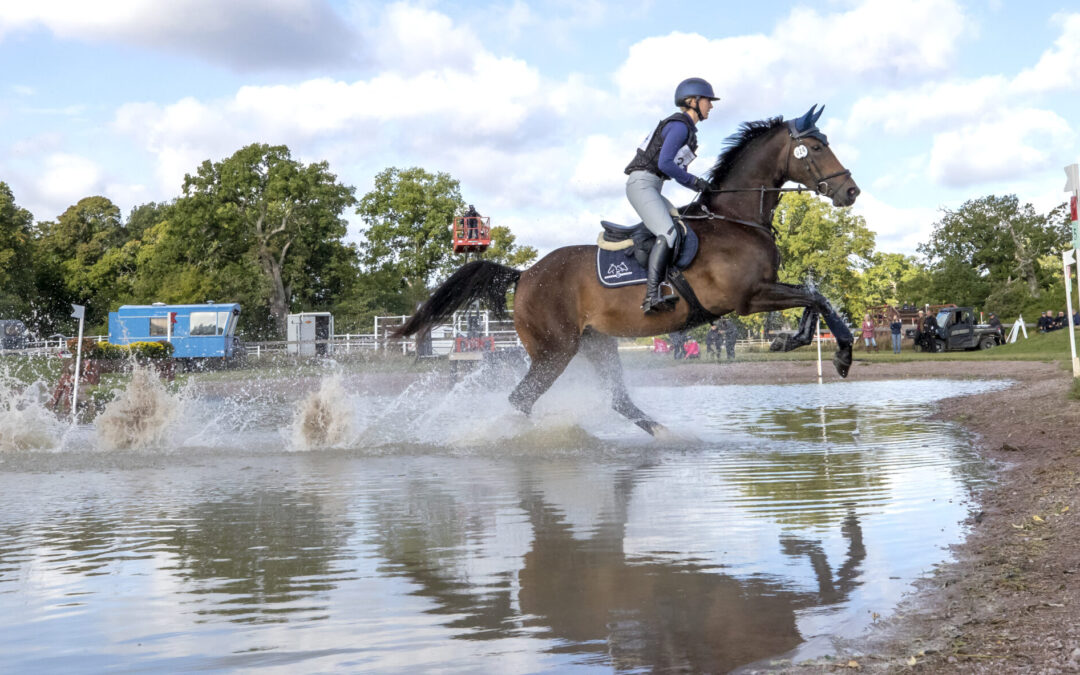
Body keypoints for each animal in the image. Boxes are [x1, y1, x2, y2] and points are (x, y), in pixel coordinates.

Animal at [395, 105, 859, 432]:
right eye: (817, 148)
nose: (850, 191)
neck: (735, 219)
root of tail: (525, 275)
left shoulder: (764, 290)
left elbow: (817, 298)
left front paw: (804, 343)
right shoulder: (747, 298)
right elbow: (816, 297)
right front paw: (835, 354)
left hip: (596, 344)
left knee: (615, 398)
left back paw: (665, 434)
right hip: (555, 351)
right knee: (521, 399)